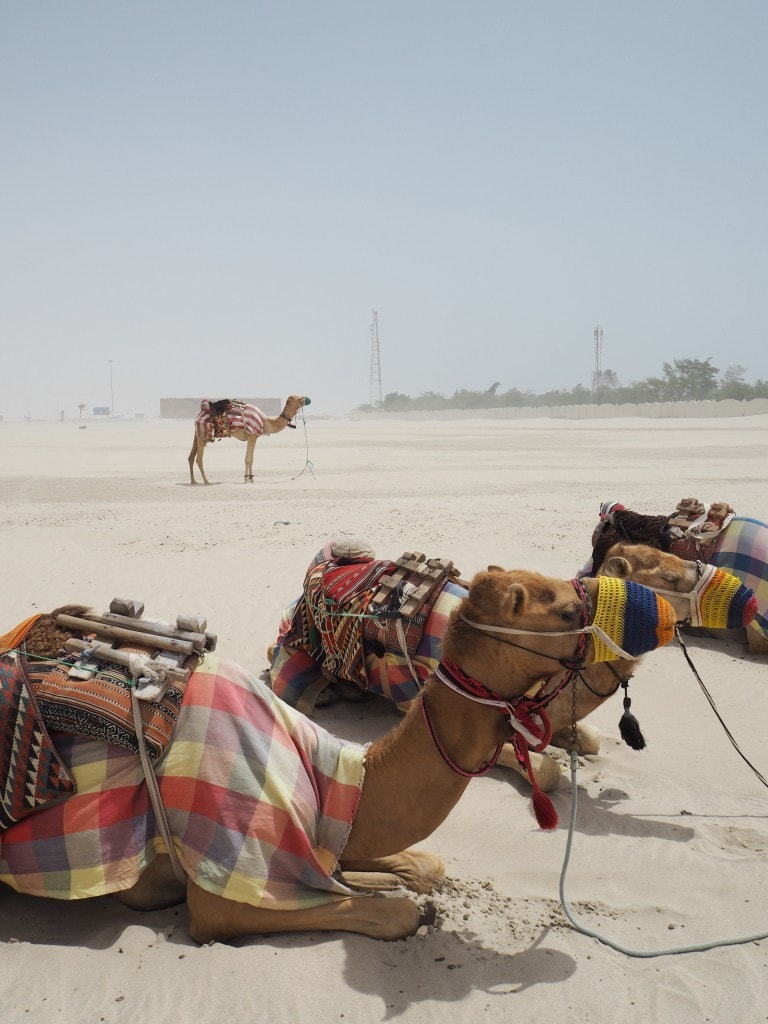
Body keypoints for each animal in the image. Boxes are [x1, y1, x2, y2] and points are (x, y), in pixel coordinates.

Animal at [0, 570, 674, 942]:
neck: (336, 773)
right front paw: (390, 900)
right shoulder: (229, 871)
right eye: (567, 608)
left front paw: (384, 875)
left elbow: (423, 863)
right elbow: (389, 913)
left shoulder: (330, 818)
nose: (656, 611)